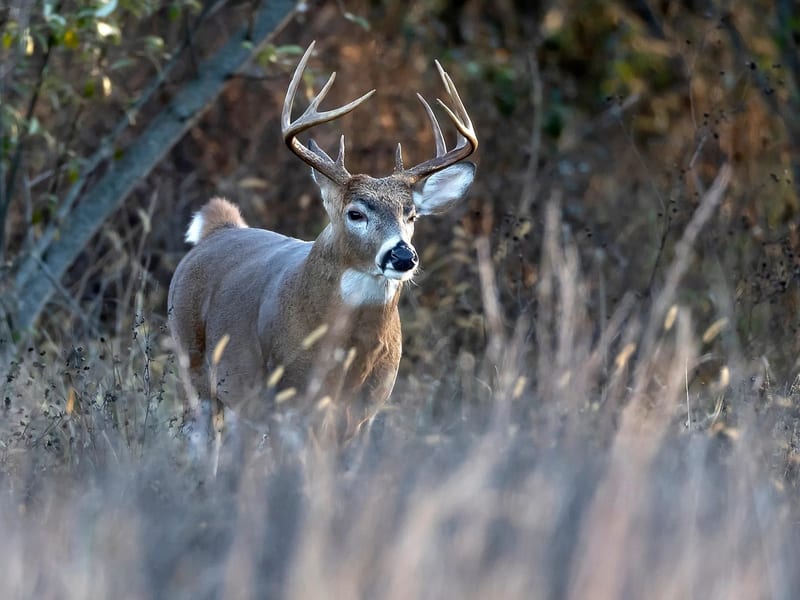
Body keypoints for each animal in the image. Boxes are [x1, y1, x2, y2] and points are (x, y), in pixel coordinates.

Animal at [168, 41, 477, 437]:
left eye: (411, 215)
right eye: (356, 213)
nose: (403, 256)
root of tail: (221, 228)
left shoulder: (366, 412)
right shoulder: (287, 401)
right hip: (193, 364)